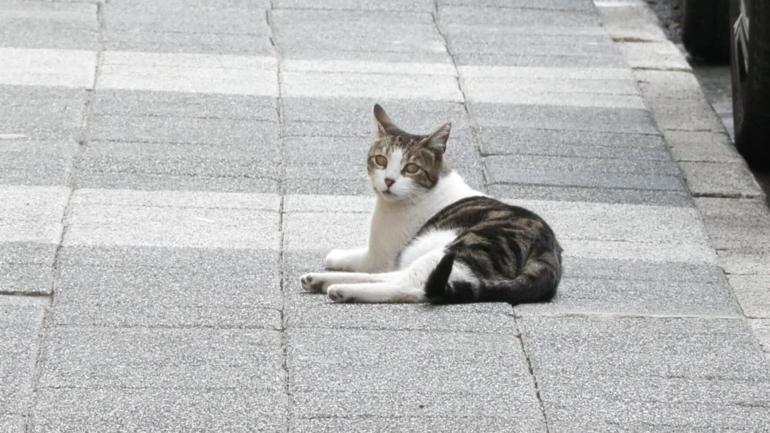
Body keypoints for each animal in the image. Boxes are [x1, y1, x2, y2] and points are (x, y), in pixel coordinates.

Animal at [296, 104, 560, 304]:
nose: (389, 180)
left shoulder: (378, 256)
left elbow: (358, 259)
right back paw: (321, 281)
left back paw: (343, 289)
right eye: (381, 160)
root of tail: (547, 252)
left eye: (411, 168)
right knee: (400, 277)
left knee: (411, 286)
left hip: (458, 250)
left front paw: (336, 256)